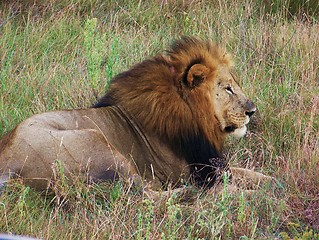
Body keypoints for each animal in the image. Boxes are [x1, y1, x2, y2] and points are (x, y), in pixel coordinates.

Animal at [0, 36, 272, 196]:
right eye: (228, 88)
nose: (252, 110)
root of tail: (8, 161)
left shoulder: (208, 163)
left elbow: (247, 172)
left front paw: (272, 181)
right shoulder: (191, 171)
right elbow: (232, 181)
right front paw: (251, 194)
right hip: (99, 143)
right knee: (148, 195)